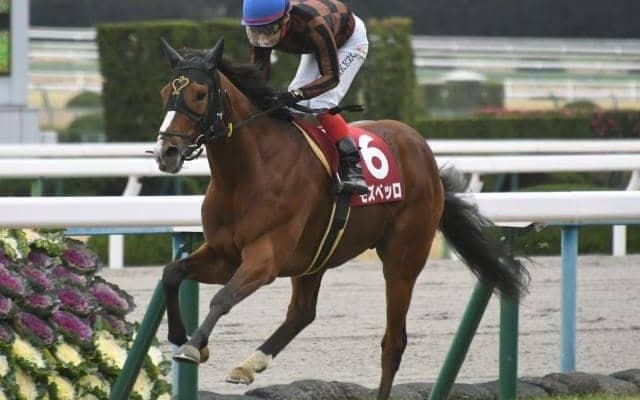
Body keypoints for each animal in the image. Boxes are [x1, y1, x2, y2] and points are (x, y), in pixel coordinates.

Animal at [152, 38, 529, 400]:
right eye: (165, 92)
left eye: (200, 94)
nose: (166, 152)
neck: (247, 173)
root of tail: (423, 151)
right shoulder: (224, 255)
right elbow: (172, 273)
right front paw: (182, 336)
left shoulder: (264, 258)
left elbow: (223, 298)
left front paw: (191, 347)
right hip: (315, 256)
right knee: (303, 312)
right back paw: (249, 364)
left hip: (403, 259)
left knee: (393, 343)